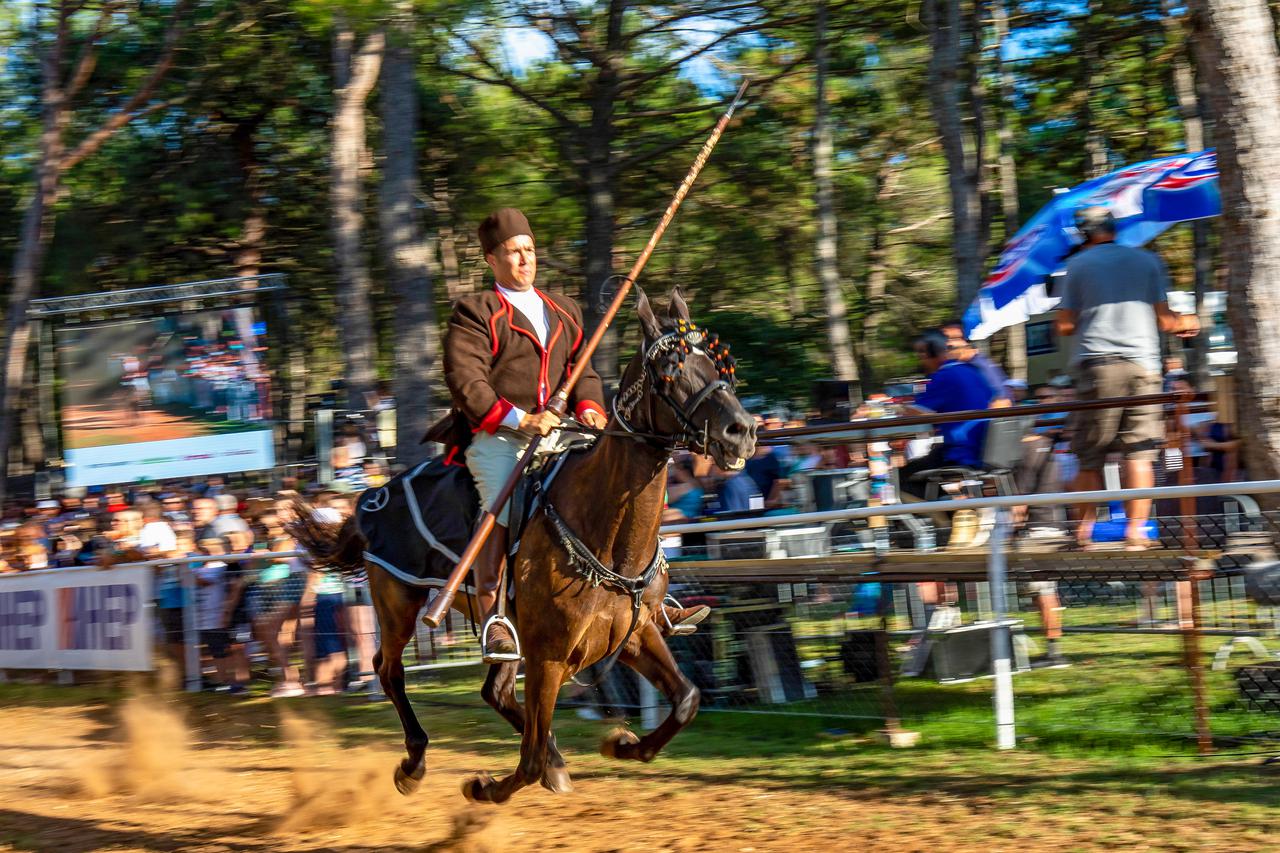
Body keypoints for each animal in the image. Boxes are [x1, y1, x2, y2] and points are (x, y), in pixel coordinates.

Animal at [285, 286, 752, 804]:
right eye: (671, 368)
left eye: (719, 363)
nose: (743, 430)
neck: (606, 530)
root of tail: (369, 498)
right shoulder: (549, 653)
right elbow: (525, 762)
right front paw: (485, 786)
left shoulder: (634, 632)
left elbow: (687, 699)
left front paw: (623, 745)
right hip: (399, 602)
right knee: (389, 670)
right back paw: (415, 762)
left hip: (506, 633)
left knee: (496, 692)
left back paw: (553, 758)